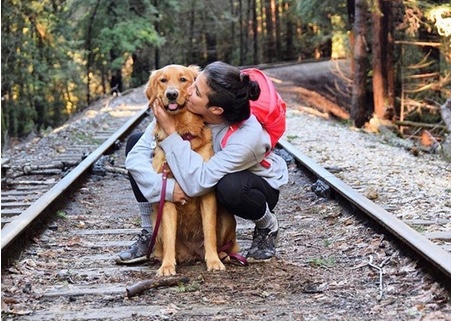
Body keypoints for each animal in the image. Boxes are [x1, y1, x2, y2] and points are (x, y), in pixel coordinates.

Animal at [146, 64, 240, 278]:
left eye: (183, 80)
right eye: (163, 80)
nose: (171, 95)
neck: (182, 135)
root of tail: (194, 253)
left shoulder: (207, 194)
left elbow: (209, 232)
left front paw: (213, 261)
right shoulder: (168, 194)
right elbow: (170, 237)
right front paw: (167, 265)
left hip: (227, 218)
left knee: (229, 244)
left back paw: (224, 255)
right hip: (156, 220)